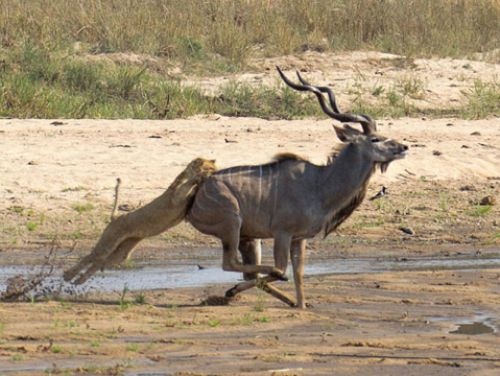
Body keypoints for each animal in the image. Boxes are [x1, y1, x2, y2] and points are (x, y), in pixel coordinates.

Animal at [186, 67, 408, 308]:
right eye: (375, 139)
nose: (404, 147)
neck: (319, 184)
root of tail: (194, 200)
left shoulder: (299, 238)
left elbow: (299, 273)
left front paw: (301, 306)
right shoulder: (283, 233)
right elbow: (282, 269)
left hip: (249, 238)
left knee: (248, 271)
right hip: (232, 224)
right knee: (236, 264)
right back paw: (232, 291)